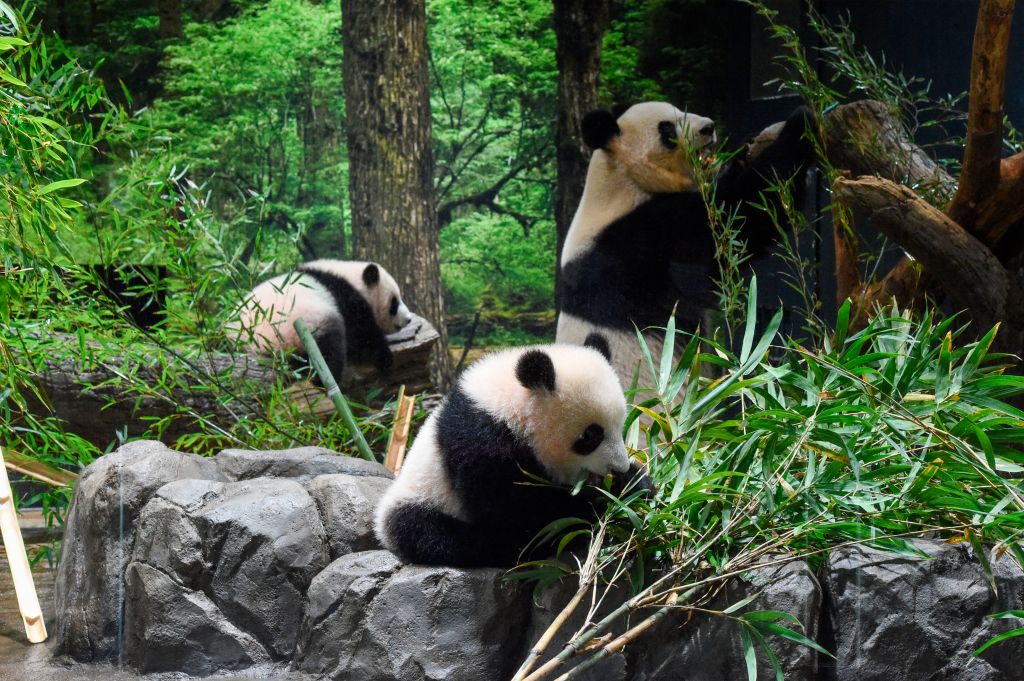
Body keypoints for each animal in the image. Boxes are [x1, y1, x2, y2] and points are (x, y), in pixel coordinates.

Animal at [232, 259, 412, 384]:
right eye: (394, 303)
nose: (408, 319)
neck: (349, 277)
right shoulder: (344, 299)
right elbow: (361, 334)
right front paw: (385, 357)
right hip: (303, 327)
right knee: (329, 349)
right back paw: (324, 379)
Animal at [374, 334, 652, 568]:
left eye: (621, 425)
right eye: (592, 435)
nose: (618, 467)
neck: (507, 407)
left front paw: (633, 482)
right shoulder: (481, 443)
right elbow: (516, 512)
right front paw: (595, 503)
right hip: (420, 501)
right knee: (434, 534)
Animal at [556, 101, 816, 387]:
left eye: (680, 110)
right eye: (667, 129)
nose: (708, 127)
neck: (621, 181)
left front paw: (746, 150)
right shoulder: (640, 242)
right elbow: (738, 219)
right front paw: (801, 123)